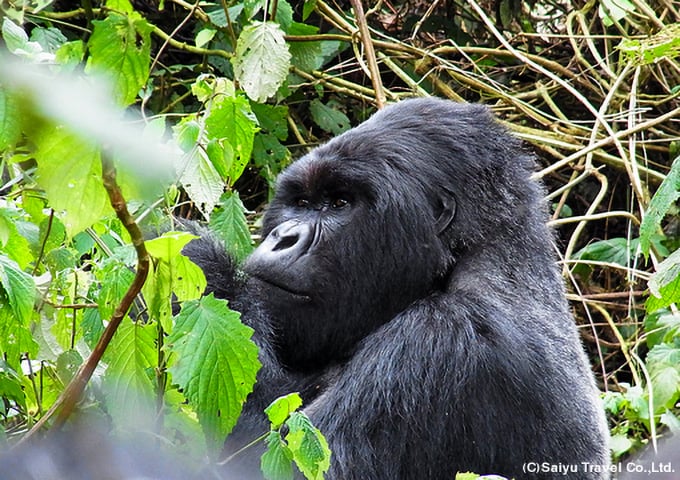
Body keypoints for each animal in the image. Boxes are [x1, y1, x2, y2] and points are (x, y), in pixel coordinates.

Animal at [182, 98, 612, 480]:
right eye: (302, 202)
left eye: (340, 203)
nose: (282, 238)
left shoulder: (440, 341)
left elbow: (284, 460)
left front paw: (200, 261)